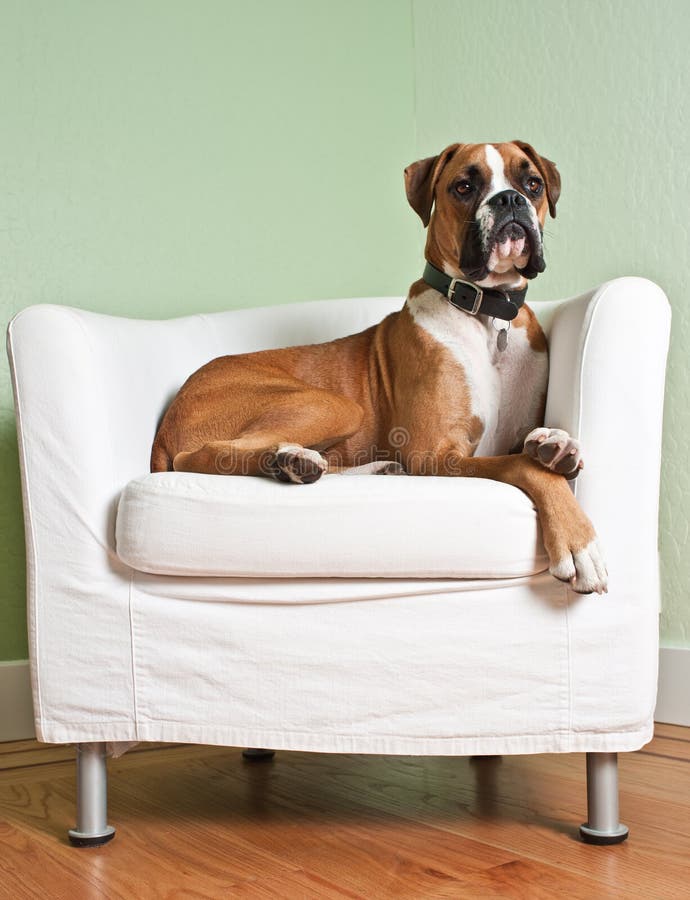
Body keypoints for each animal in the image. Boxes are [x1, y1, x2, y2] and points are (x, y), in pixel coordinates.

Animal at [153, 142, 604, 596]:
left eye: (533, 184)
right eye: (463, 186)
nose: (510, 199)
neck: (487, 317)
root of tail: (171, 413)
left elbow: (528, 449)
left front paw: (556, 444)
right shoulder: (435, 454)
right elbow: (523, 467)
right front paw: (578, 542)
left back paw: (315, 463)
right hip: (332, 405)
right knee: (204, 455)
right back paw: (290, 460)